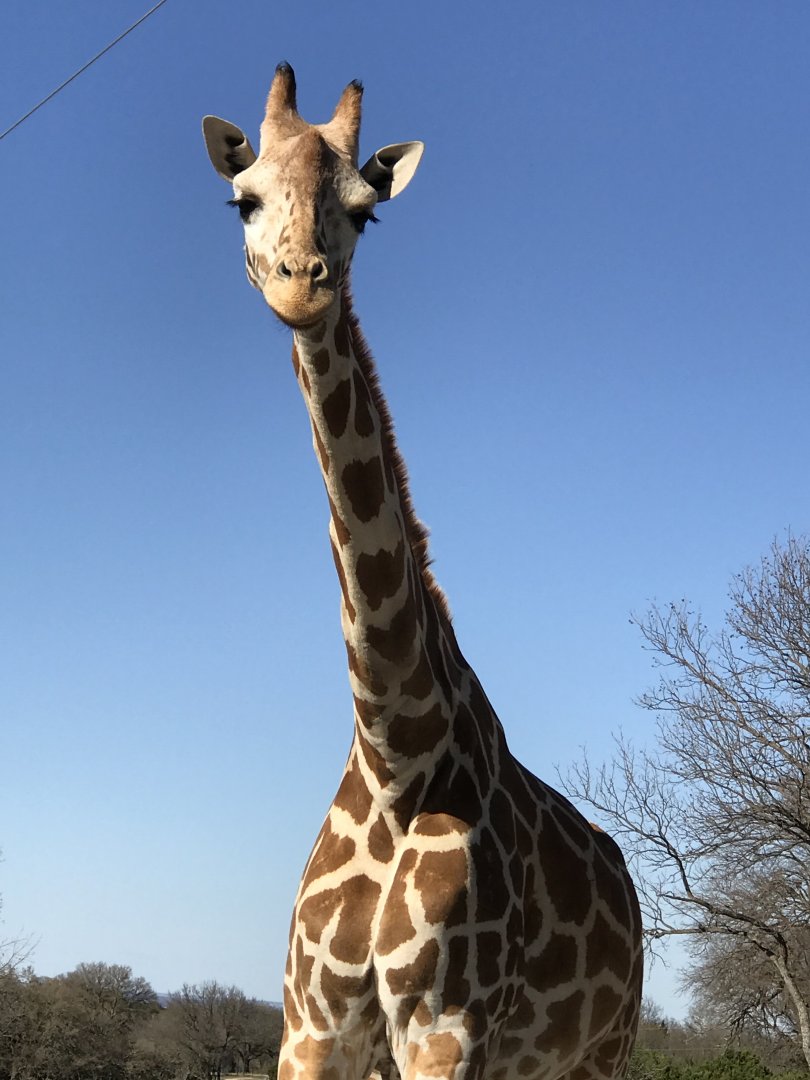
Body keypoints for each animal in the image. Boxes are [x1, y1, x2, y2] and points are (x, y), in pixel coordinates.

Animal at [203, 64, 642, 1080]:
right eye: (244, 198)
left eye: (366, 215)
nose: (302, 285)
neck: (395, 752)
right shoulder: (311, 1027)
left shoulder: (447, 1028)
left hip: (603, 1048)